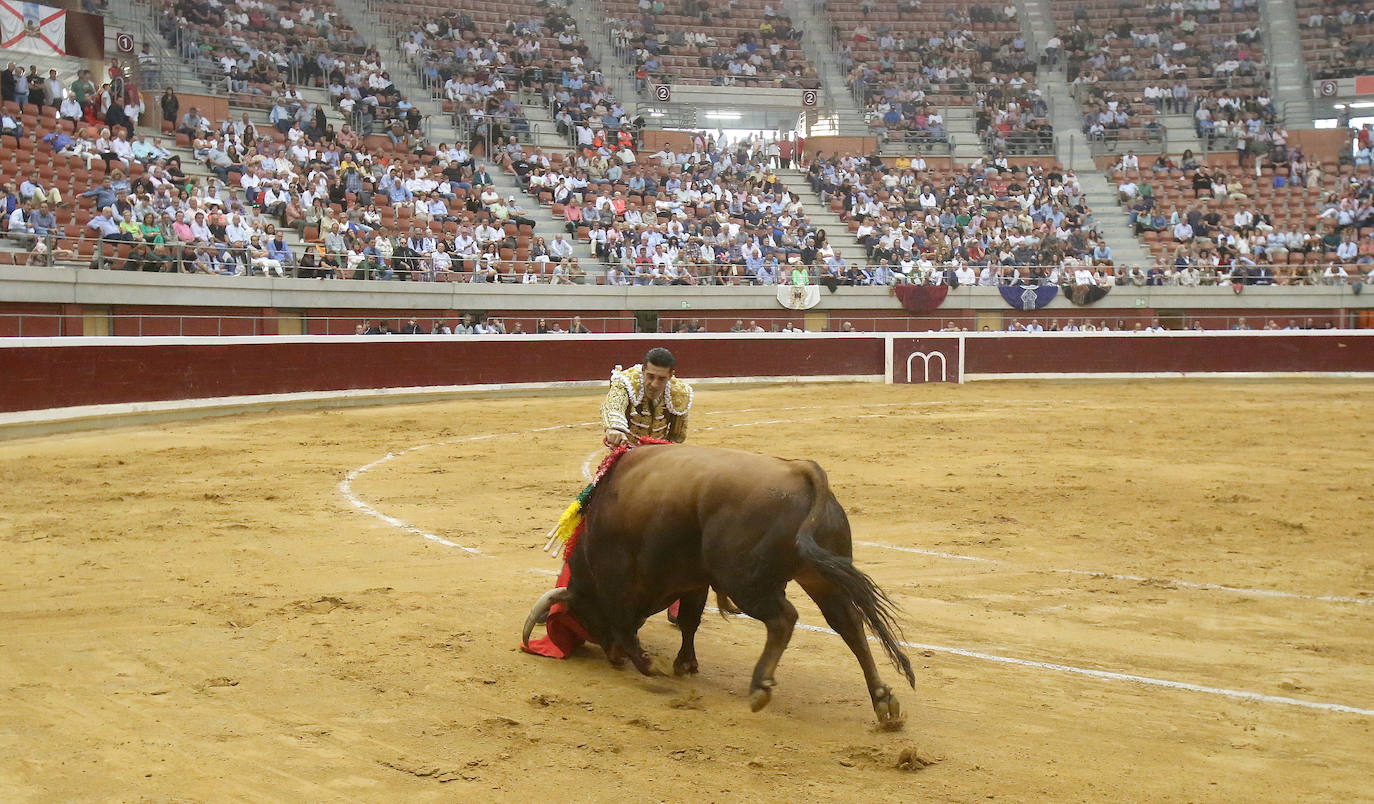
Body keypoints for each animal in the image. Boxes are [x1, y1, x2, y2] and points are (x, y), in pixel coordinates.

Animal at [519, 442, 917, 725]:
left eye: (586, 616)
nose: (612, 658)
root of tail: (802, 470)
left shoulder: (617, 585)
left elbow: (629, 626)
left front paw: (651, 665)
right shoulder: (695, 581)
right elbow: (690, 621)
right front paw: (685, 664)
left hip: (746, 581)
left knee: (784, 618)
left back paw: (760, 687)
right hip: (818, 575)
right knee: (848, 624)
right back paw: (883, 700)